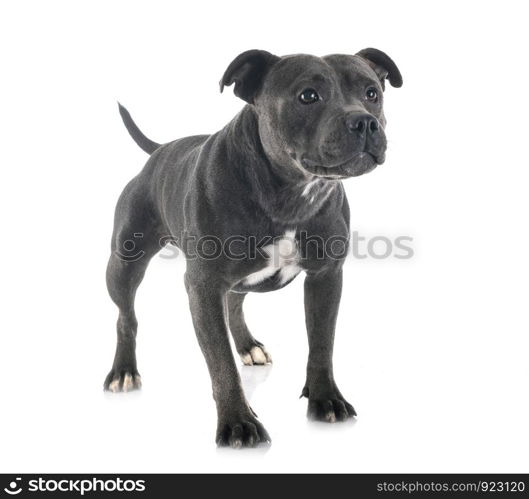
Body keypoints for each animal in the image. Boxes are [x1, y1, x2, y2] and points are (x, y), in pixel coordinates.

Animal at [105, 48, 400, 450]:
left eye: (372, 93)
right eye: (308, 96)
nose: (365, 122)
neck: (291, 191)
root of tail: (161, 150)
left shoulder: (326, 278)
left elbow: (322, 344)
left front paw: (326, 400)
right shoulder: (203, 287)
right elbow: (220, 363)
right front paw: (238, 422)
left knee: (234, 302)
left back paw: (247, 345)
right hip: (124, 262)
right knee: (126, 317)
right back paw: (123, 370)